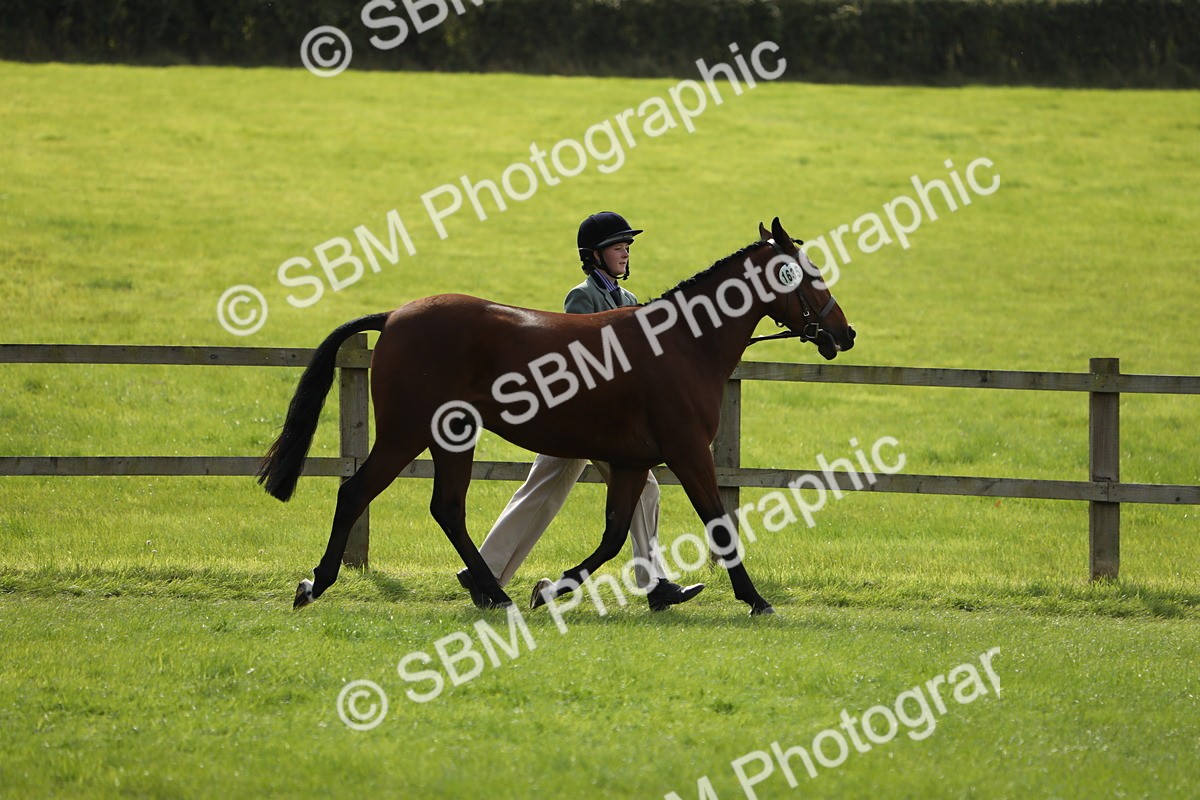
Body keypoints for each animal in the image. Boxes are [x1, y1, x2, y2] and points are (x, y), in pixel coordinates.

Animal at [258, 218, 855, 616]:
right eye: (810, 275)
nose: (844, 333)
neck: (683, 343)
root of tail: (396, 316)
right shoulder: (688, 453)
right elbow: (719, 523)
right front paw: (757, 600)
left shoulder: (632, 462)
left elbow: (616, 534)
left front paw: (554, 588)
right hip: (407, 434)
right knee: (356, 492)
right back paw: (317, 584)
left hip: (453, 438)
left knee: (447, 508)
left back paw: (493, 593)